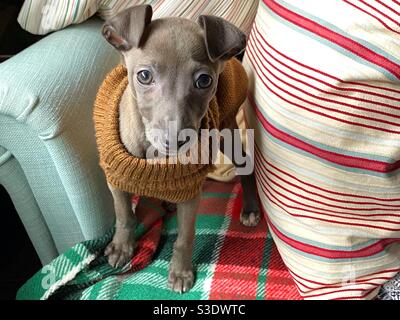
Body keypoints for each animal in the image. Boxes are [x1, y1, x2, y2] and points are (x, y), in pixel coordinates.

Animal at [101, 5, 260, 294]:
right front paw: (121, 247)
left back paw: (251, 208)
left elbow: (184, 237)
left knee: (245, 166)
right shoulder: (115, 179)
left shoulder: (190, 194)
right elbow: (124, 216)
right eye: (144, 76)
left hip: (227, 131)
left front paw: (181, 272)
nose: (175, 141)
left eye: (204, 80)